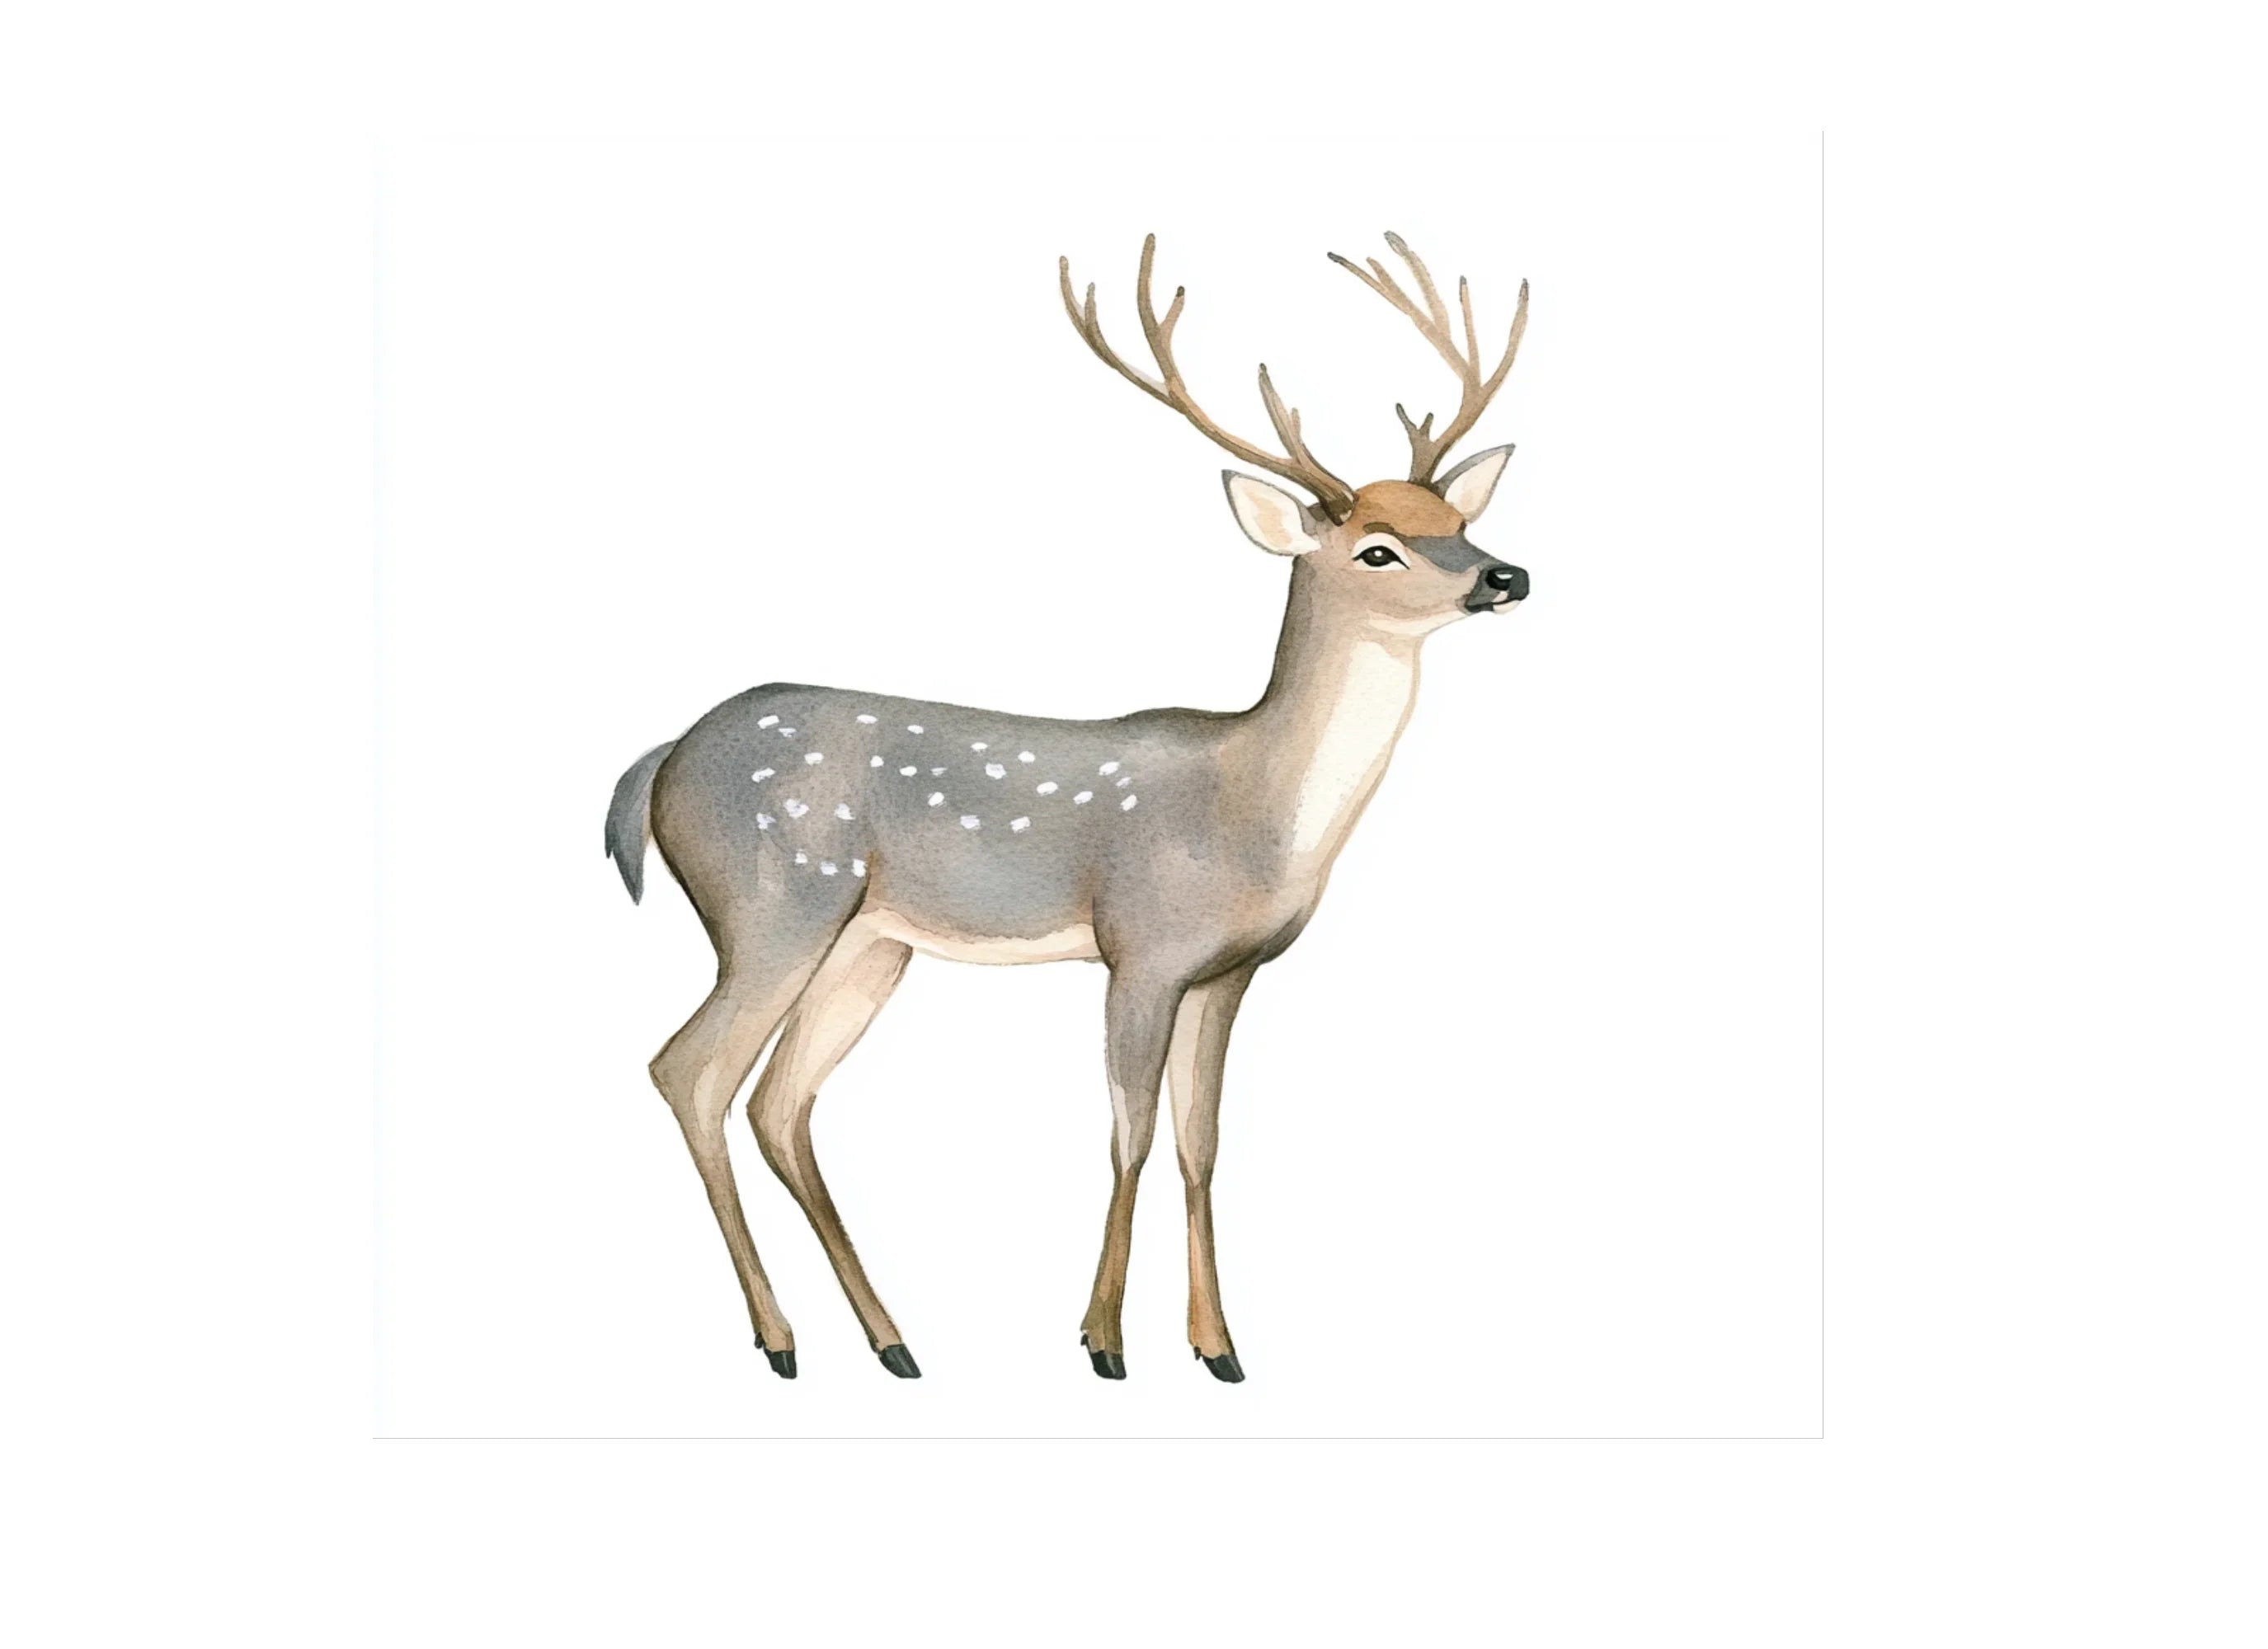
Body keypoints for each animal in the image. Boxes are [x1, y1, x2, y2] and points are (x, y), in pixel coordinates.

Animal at [606, 232, 1531, 1382]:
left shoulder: (1225, 974)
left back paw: (892, 1339)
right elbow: (1126, 1134)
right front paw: (1102, 1340)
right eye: (1376, 546)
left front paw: (1218, 1347)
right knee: (688, 1069)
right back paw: (780, 1341)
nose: (1506, 575)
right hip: (772, 902)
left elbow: (1200, 1145)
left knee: (780, 1101)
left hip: (868, 942)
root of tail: (661, 762)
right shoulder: (1140, 945)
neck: (1255, 809)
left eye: (1458, 520)